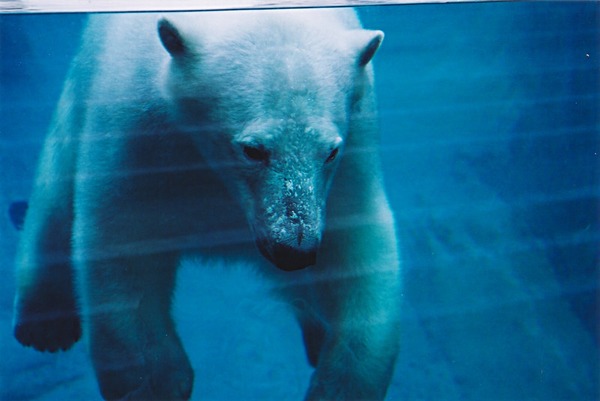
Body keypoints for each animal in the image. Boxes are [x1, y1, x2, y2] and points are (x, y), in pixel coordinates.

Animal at [12, 7, 398, 398]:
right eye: (253, 149)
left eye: (329, 151)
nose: (294, 251)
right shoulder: (138, 133)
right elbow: (126, 244)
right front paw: (159, 382)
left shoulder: (352, 157)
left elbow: (356, 250)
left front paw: (339, 384)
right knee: (54, 199)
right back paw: (46, 327)